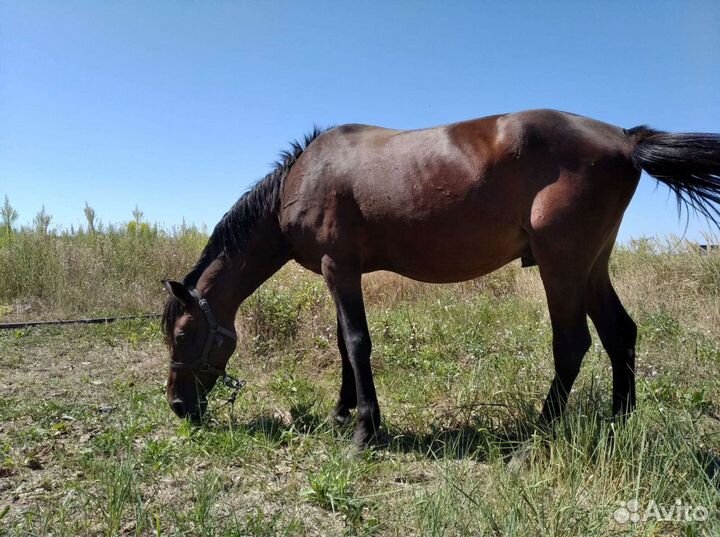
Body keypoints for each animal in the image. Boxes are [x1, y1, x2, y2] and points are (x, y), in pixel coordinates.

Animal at [161, 109, 720, 446]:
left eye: (183, 335)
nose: (178, 407)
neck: (301, 179)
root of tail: (625, 138)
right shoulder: (338, 273)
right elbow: (344, 344)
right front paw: (342, 414)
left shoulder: (338, 268)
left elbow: (357, 342)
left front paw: (365, 429)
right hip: (592, 265)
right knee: (619, 333)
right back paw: (618, 425)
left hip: (561, 265)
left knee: (573, 344)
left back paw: (536, 435)